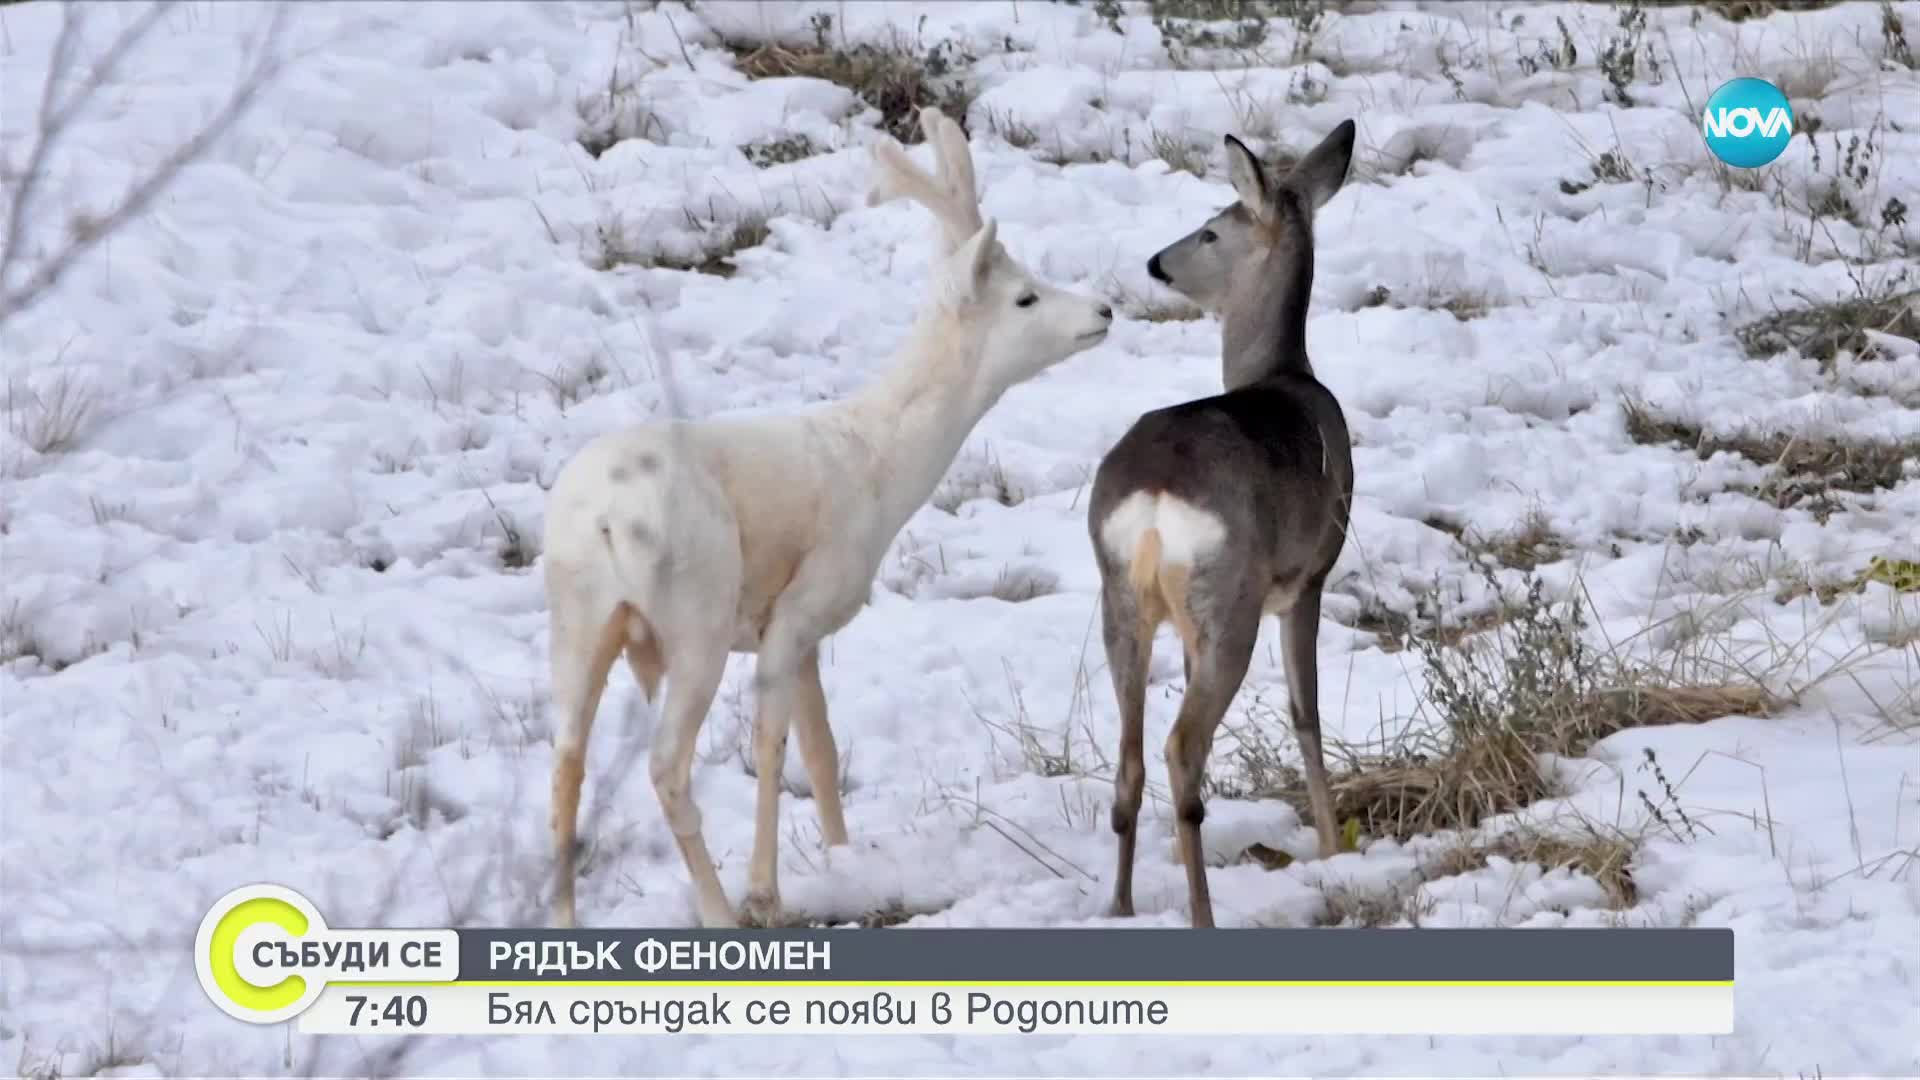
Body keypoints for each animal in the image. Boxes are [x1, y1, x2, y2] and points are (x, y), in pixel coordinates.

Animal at [541, 107, 1113, 926]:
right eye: (1024, 296)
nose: (1104, 308)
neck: (879, 467)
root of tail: (602, 521)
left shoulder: (808, 633)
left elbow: (822, 748)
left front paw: (847, 861)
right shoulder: (795, 609)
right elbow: (775, 746)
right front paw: (766, 891)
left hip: (578, 618)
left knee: (565, 760)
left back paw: (562, 918)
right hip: (697, 614)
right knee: (666, 766)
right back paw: (717, 911)